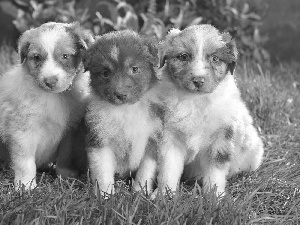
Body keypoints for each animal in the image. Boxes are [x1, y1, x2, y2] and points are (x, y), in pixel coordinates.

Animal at [0, 21, 94, 190]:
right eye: (37, 57)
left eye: (65, 56)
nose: (50, 81)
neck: (53, 97)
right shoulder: (22, 130)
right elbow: (25, 162)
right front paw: (26, 185)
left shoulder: (70, 131)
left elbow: (66, 155)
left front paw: (65, 175)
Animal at [82, 29, 162, 195]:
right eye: (105, 73)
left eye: (134, 69)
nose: (120, 95)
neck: (125, 110)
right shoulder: (99, 139)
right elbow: (103, 172)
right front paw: (105, 196)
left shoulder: (151, 140)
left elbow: (145, 172)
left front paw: (139, 193)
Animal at [156, 24, 264, 196]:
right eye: (183, 57)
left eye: (215, 58)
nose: (198, 80)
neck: (195, 100)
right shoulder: (171, 138)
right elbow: (169, 169)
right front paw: (164, 195)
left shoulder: (221, 139)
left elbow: (215, 173)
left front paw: (214, 197)